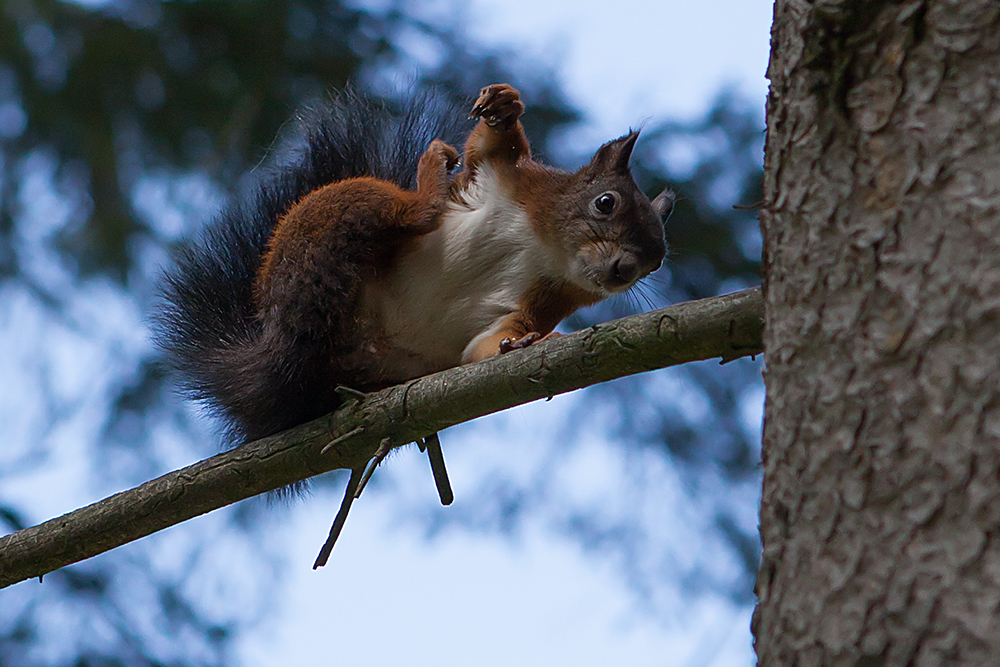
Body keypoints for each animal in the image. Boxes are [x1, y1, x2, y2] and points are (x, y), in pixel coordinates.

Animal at [156, 82, 672, 564]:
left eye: (656, 262)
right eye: (605, 202)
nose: (624, 270)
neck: (547, 248)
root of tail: (283, 351)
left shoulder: (540, 301)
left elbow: (484, 346)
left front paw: (524, 342)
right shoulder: (511, 179)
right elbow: (490, 148)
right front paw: (504, 107)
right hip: (339, 210)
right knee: (416, 215)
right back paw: (429, 177)